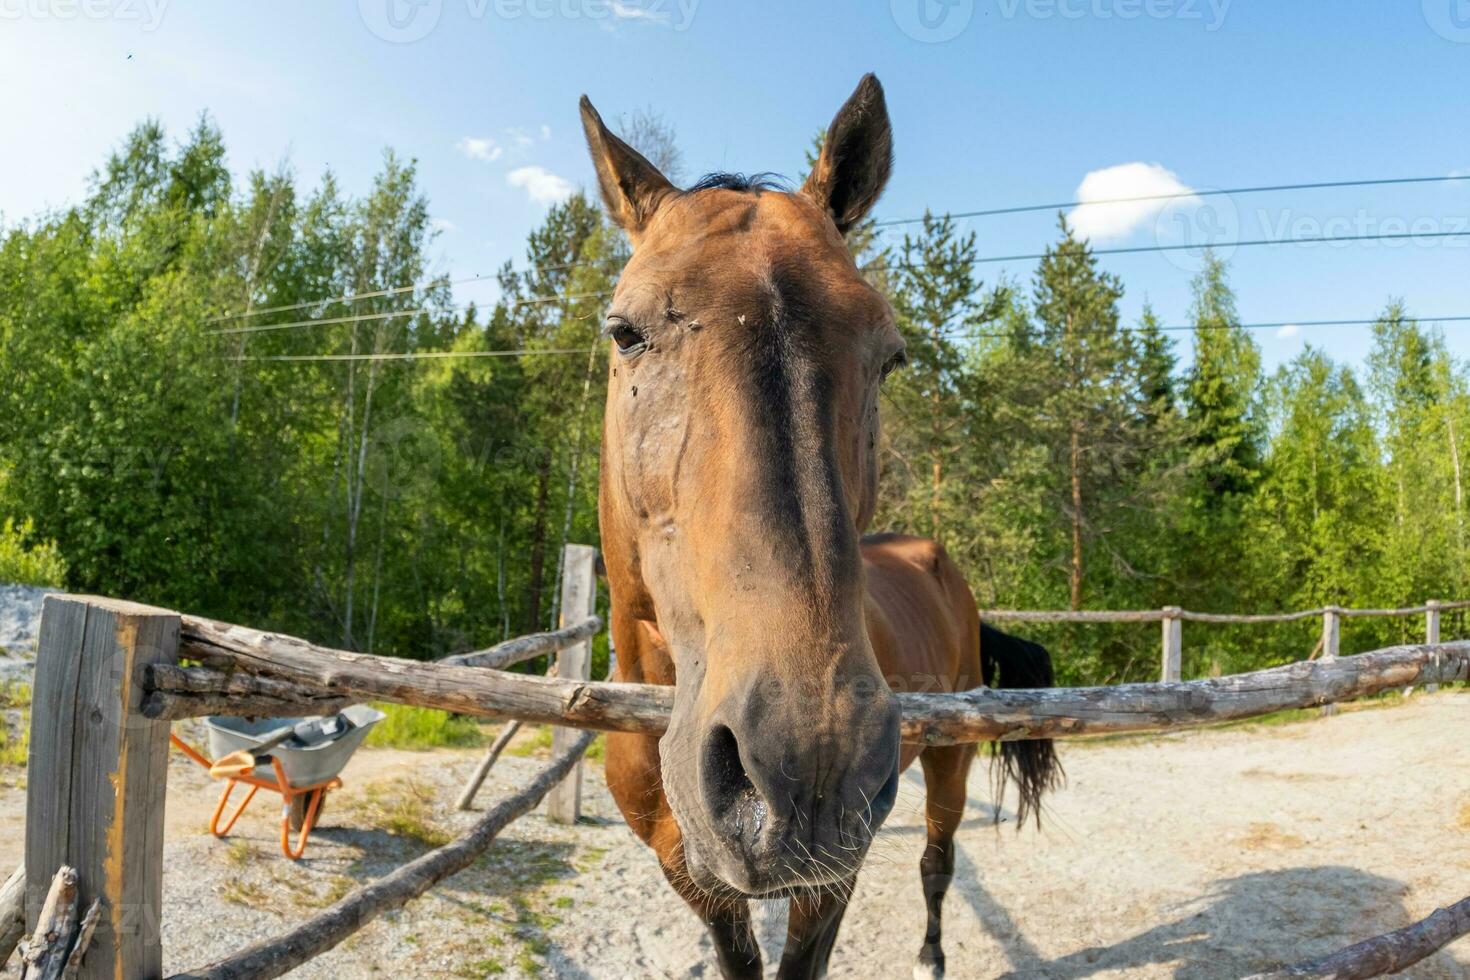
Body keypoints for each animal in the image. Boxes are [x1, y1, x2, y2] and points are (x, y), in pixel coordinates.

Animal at [582, 78, 1058, 980]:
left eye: (890, 354)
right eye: (626, 332)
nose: (811, 768)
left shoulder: (831, 880)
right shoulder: (695, 880)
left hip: (949, 759)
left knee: (937, 860)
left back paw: (931, 955)